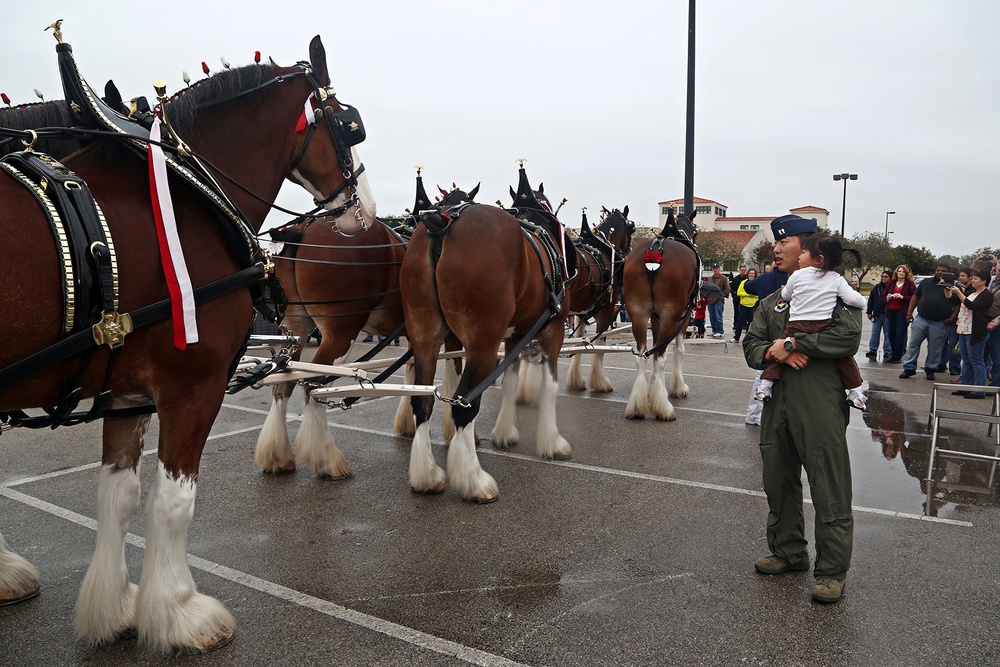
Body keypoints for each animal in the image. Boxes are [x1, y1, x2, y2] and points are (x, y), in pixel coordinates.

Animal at [0, 35, 374, 652]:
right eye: (350, 124)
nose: (365, 211)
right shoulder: (192, 386)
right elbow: (174, 502)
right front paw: (177, 612)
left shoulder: (127, 392)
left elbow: (120, 495)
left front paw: (115, 608)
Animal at [400, 170, 572, 504]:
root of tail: (441, 223)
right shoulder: (553, 331)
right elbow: (550, 386)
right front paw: (553, 442)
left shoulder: (514, 337)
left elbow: (511, 383)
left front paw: (505, 434)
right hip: (482, 344)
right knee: (464, 402)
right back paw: (473, 481)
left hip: (425, 337)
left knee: (422, 401)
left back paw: (426, 476)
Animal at [620, 211, 700, 420]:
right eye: (696, 230)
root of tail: (655, 251)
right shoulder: (681, 318)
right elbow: (678, 351)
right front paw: (677, 388)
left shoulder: (655, 318)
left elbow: (655, 345)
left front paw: (652, 387)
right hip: (670, 315)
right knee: (660, 356)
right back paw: (663, 408)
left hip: (638, 315)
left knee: (642, 355)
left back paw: (637, 406)